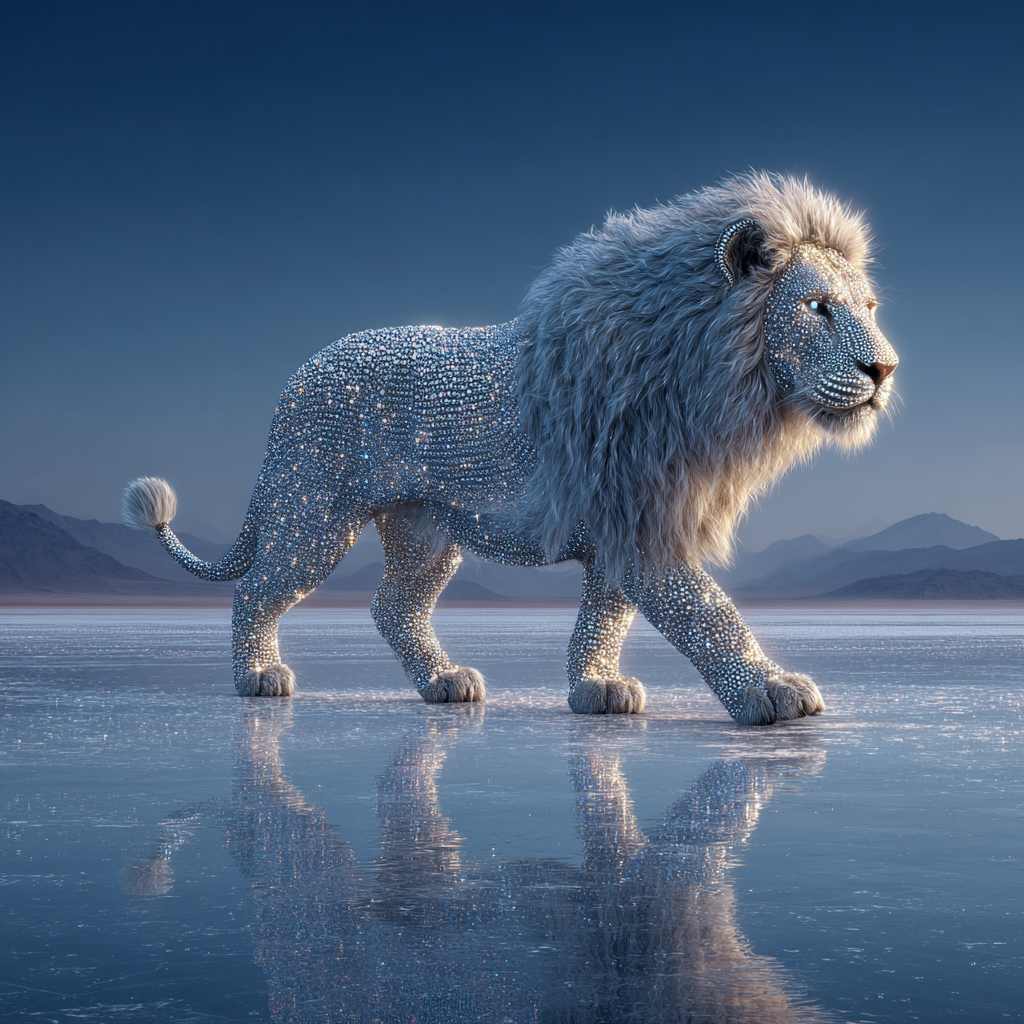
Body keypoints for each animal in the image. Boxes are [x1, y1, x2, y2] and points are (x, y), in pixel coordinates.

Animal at [123, 172, 898, 724]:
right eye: (817, 307)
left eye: (867, 307)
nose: (884, 370)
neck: (704, 370)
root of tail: (297, 377)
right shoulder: (644, 527)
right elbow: (707, 612)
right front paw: (771, 690)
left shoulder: (623, 530)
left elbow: (603, 620)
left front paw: (597, 689)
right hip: (312, 511)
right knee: (256, 589)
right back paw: (257, 678)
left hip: (425, 531)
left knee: (392, 607)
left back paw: (444, 682)